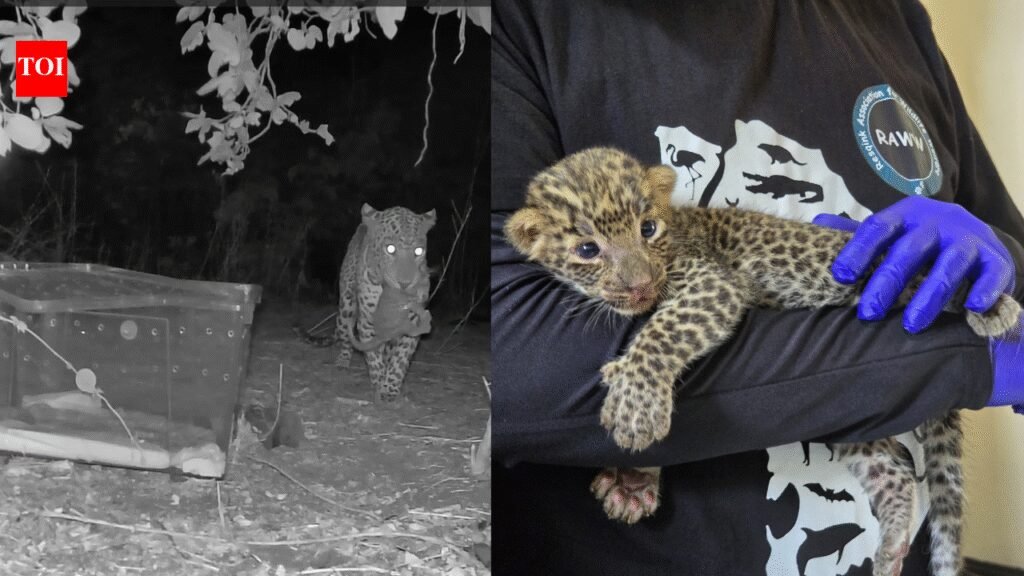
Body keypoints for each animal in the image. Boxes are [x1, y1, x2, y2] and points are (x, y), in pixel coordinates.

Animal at [312, 203, 435, 402]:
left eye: (418, 251)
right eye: (390, 248)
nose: (405, 283)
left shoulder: (413, 324)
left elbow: (400, 360)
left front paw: (390, 389)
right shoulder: (368, 322)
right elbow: (374, 358)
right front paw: (379, 385)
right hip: (346, 306)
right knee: (346, 336)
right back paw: (343, 361)